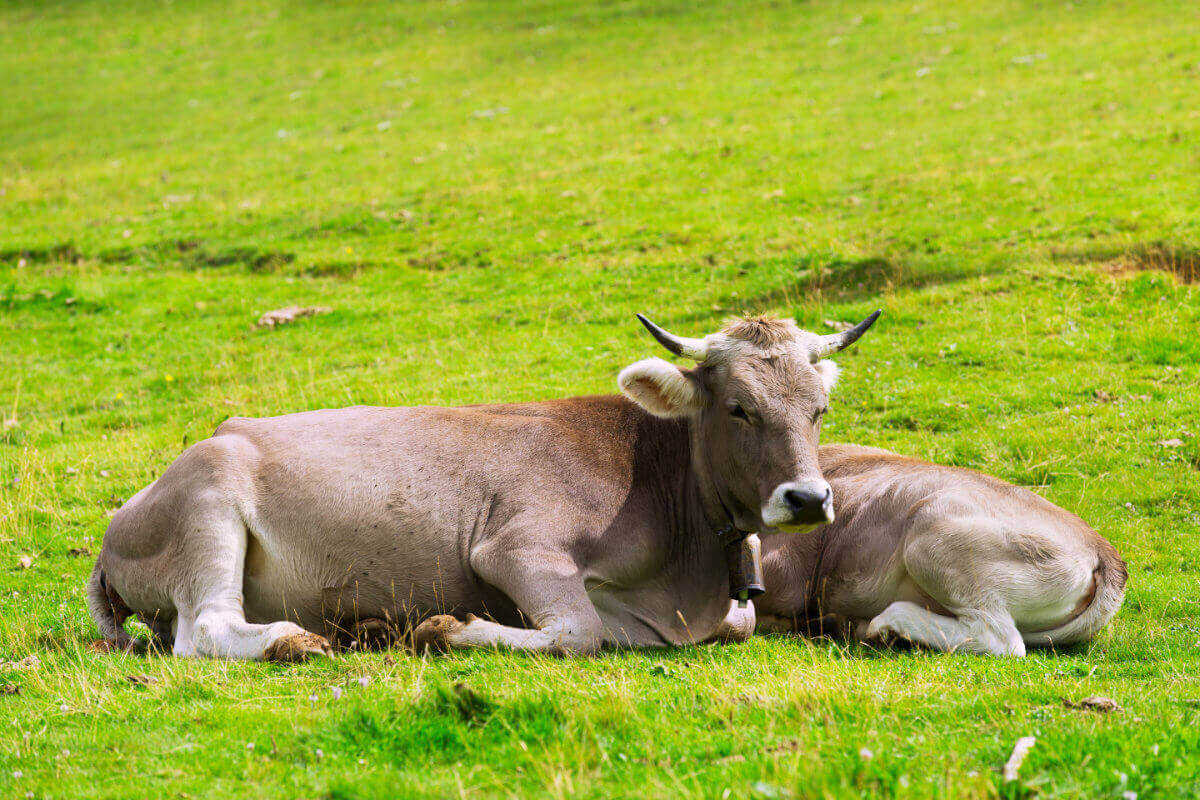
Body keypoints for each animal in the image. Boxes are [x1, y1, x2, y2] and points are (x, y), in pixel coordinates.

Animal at [82, 309, 873, 662]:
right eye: (739, 407)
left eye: (818, 408)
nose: (808, 499)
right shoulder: (514, 549)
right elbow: (576, 631)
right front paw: (447, 628)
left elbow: (726, 622)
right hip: (207, 504)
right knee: (205, 630)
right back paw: (299, 639)